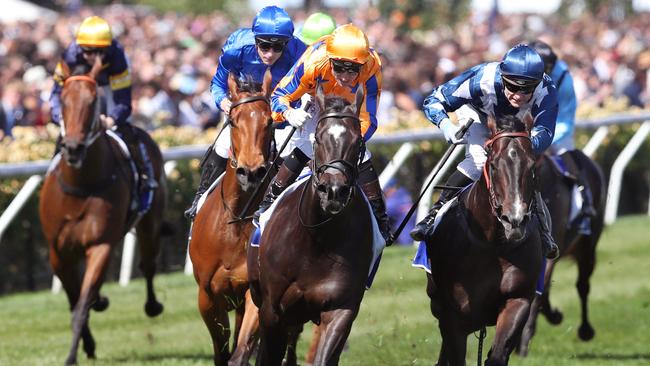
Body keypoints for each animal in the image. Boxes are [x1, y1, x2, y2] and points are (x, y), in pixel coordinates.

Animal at [38, 58, 166, 364]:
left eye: (93, 100)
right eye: (63, 98)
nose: (73, 147)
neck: (81, 185)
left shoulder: (100, 245)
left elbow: (81, 305)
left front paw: (72, 355)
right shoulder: (58, 251)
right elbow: (74, 301)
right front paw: (87, 344)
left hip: (150, 221)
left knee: (148, 263)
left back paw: (152, 304)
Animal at [187, 70, 274, 364]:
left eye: (270, 121)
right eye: (234, 121)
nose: (252, 172)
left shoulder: (255, 292)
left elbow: (242, 349)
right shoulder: (207, 296)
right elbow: (222, 352)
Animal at [248, 85, 372, 366]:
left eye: (357, 142)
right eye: (319, 138)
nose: (334, 191)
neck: (316, 239)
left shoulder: (340, 309)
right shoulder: (272, 311)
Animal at [426, 115, 540, 366]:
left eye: (532, 166)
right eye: (495, 165)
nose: (514, 220)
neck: (491, 243)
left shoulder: (518, 299)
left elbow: (496, 357)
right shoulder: (453, 315)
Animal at [512, 149, 604, 354]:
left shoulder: (550, 247)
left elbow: (539, 291)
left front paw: (524, 339)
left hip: (588, 246)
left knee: (583, 285)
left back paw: (586, 330)